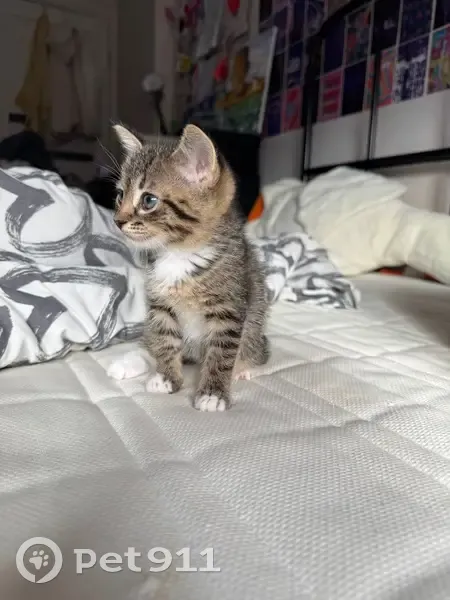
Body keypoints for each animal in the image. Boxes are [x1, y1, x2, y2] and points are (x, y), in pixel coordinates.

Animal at [109, 123, 269, 411]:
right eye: (120, 195)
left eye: (148, 200)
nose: (117, 221)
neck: (178, 253)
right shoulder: (160, 305)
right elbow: (165, 340)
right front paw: (167, 377)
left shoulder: (229, 308)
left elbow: (222, 351)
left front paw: (213, 393)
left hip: (256, 320)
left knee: (256, 347)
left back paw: (243, 367)